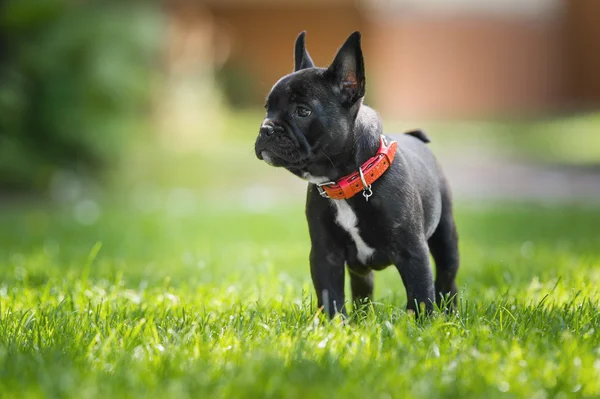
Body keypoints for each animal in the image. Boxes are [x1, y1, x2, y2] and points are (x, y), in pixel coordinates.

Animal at [254, 31, 460, 318]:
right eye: (267, 109)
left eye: (302, 111)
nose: (266, 128)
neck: (347, 182)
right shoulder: (325, 254)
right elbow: (330, 295)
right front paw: (334, 325)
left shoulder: (412, 252)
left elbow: (420, 295)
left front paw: (425, 325)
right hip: (361, 269)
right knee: (363, 286)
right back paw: (363, 318)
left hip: (445, 237)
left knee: (446, 277)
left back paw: (449, 313)